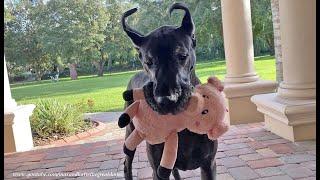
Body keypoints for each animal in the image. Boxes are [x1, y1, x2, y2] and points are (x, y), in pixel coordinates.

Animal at [121, 2, 219, 180]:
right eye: (148, 61)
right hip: (130, 130)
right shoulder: (158, 170)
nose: (167, 100)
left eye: (182, 55)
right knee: (127, 162)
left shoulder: (209, 165)